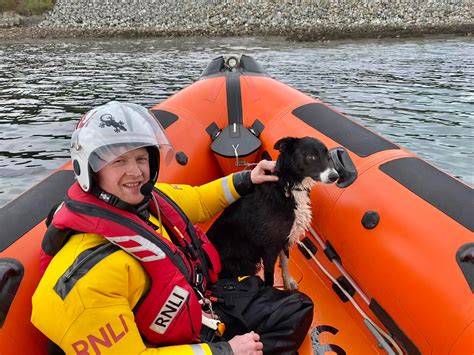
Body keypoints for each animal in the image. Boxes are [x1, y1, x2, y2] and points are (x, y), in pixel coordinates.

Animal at [206, 136, 336, 290]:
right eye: (311, 156)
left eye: (328, 157)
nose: (335, 176)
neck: (288, 185)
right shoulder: (270, 248)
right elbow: (270, 278)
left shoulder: (285, 239)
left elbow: (285, 263)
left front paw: (287, 283)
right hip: (243, 263)